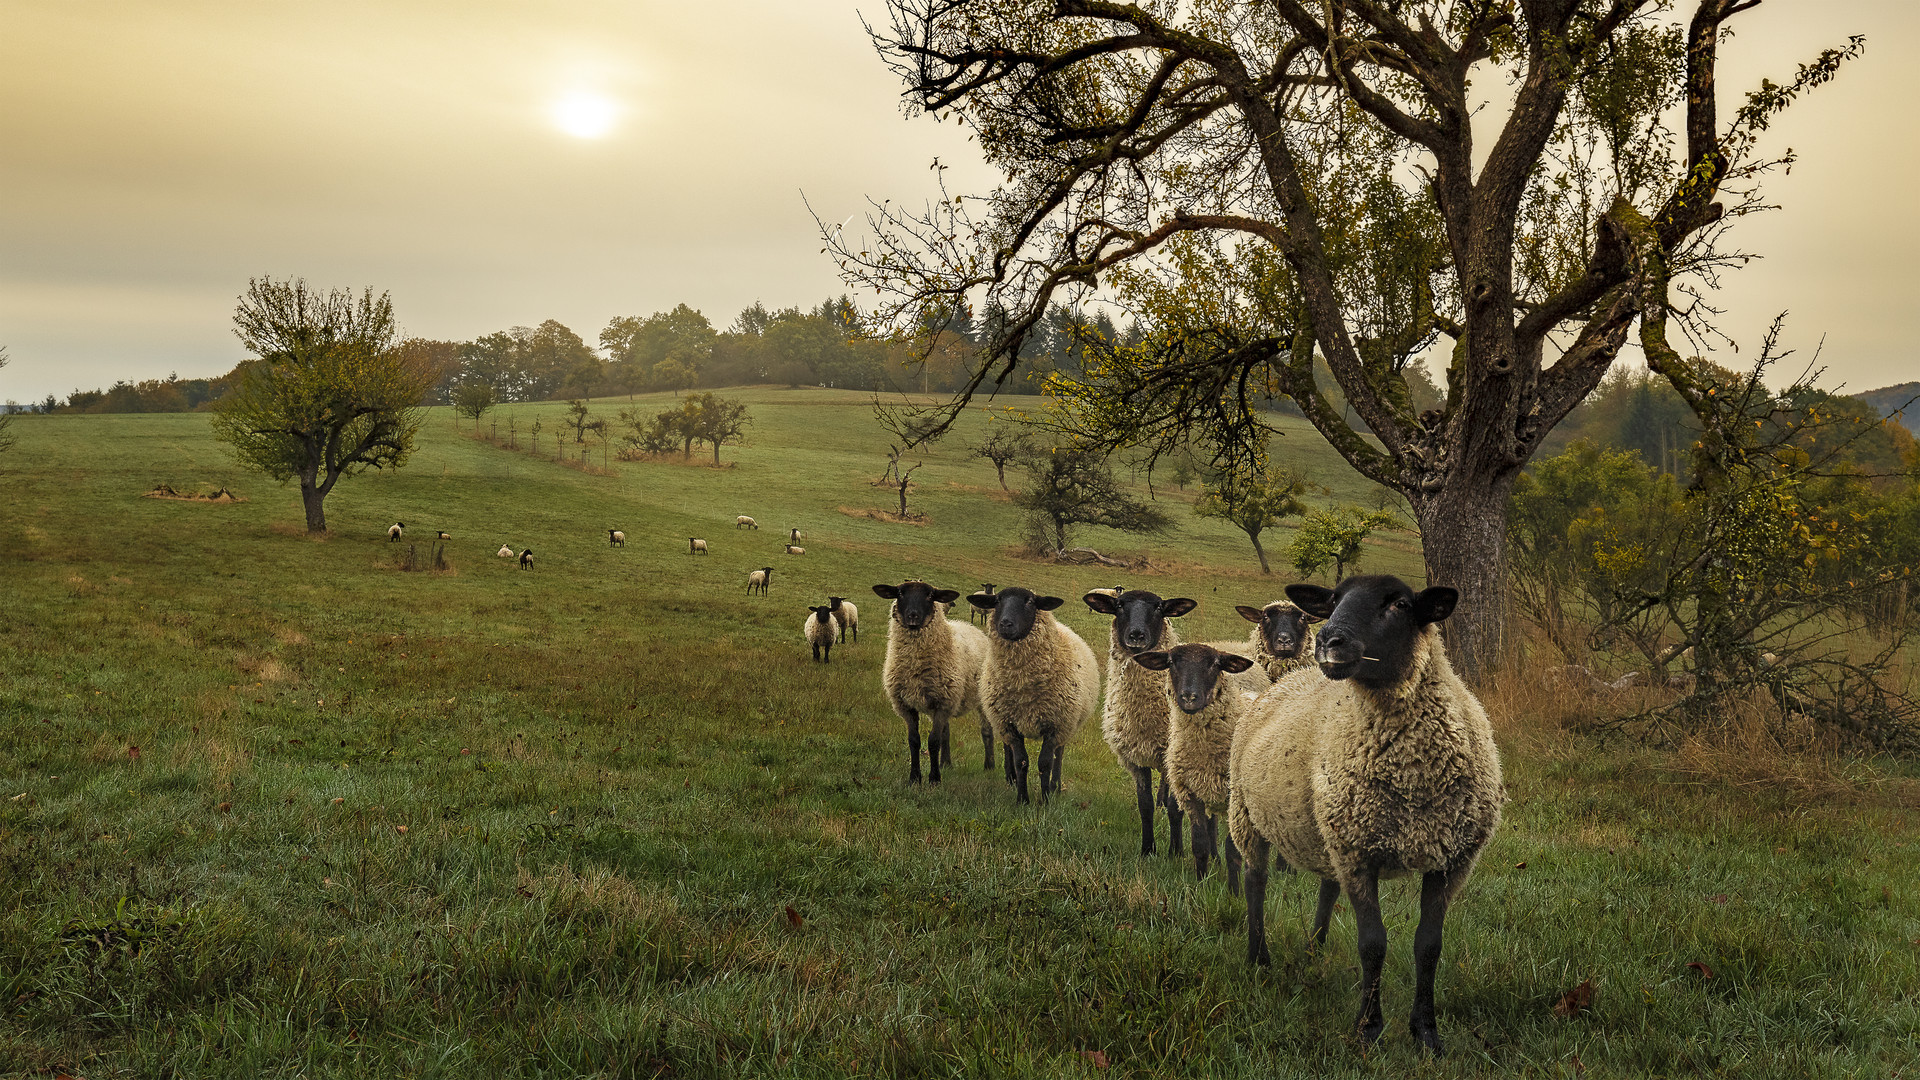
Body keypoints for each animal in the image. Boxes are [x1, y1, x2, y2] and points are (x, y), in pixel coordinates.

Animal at [875, 580, 990, 780]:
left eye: (930, 595)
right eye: (900, 593)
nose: (913, 616)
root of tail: (973, 628)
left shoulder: (941, 703)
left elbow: (933, 741)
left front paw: (934, 779)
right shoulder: (907, 705)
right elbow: (914, 741)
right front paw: (915, 778)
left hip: (981, 698)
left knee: (987, 731)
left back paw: (990, 766)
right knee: (946, 732)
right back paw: (946, 763)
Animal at [967, 584, 1105, 803]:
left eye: (1030, 601)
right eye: (997, 600)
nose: (1005, 624)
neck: (1022, 685)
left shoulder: (1055, 724)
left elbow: (1045, 763)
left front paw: (1046, 799)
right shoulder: (1009, 723)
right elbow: (1021, 761)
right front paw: (1022, 799)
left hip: (1067, 723)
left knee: (1059, 753)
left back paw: (1055, 785)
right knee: (1007, 748)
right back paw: (1011, 778)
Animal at [1090, 584, 1190, 853]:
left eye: (1158, 607)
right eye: (1119, 605)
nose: (1136, 635)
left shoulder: (1172, 756)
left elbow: (1176, 809)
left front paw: (1175, 852)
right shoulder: (1135, 756)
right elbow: (1144, 805)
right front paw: (1148, 850)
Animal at [1128, 641, 1267, 887]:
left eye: (1215, 664)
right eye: (1171, 662)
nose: (1189, 697)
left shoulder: (1232, 797)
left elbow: (1232, 849)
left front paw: (1233, 890)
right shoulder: (1191, 792)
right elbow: (1199, 844)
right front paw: (1201, 884)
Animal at [1228, 572, 1497, 1053]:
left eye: (1401, 604)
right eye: (1334, 600)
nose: (1328, 641)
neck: (1413, 773)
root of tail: (1286, 681)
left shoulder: (1452, 859)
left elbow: (1429, 945)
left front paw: (1426, 1033)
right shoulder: (1359, 854)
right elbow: (1373, 944)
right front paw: (1368, 1029)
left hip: (1328, 829)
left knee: (1326, 886)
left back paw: (1313, 952)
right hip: (1246, 814)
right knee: (1255, 882)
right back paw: (1258, 957)